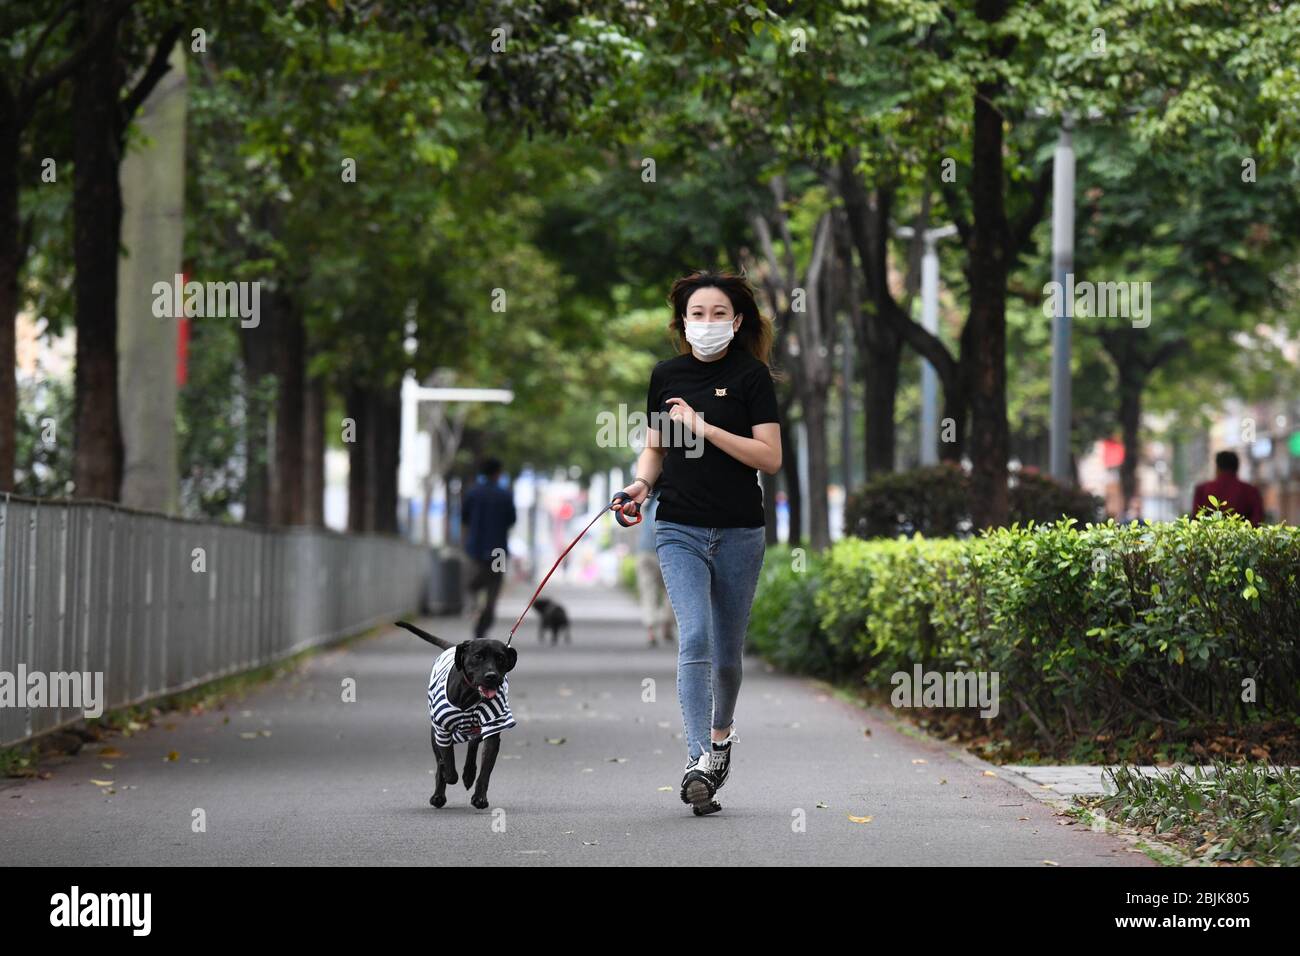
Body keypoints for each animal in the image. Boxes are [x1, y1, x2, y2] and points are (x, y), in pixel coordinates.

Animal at [395, 621, 517, 806]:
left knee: (473, 744)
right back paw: (439, 793)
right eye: (478, 656)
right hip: (434, 734)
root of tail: (453, 647)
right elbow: (447, 761)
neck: (469, 695)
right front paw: (448, 775)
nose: (491, 676)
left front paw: (479, 797)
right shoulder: (441, 730)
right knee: (441, 759)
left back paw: (468, 774)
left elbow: (485, 771)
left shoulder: (493, 728)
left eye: (500, 658)